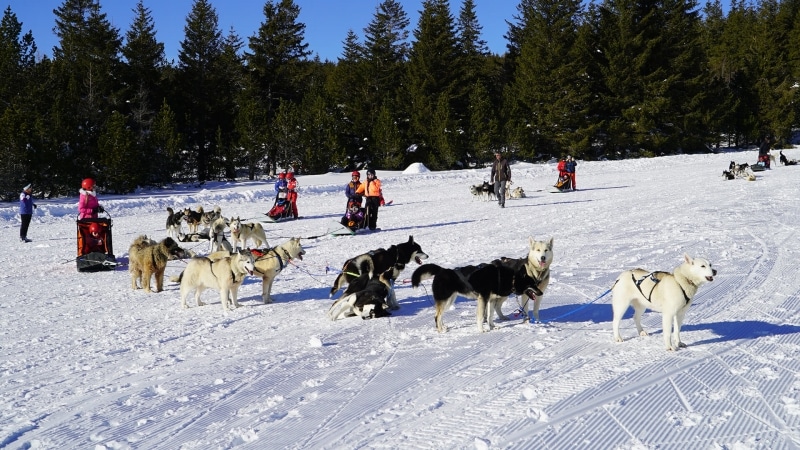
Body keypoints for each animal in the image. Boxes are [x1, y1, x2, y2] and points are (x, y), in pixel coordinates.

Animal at [412, 262, 544, 332]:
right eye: (532, 284)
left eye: (535, 283)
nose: (542, 293)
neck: (510, 279)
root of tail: (441, 270)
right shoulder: (483, 299)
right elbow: (481, 317)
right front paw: (482, 330)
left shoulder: (491, 300)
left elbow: (490, 316)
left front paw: (492, 327)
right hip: (445, 300)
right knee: (436, 316)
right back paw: (440, 330)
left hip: (449, 300)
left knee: (440, 315)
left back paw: (443, 326)